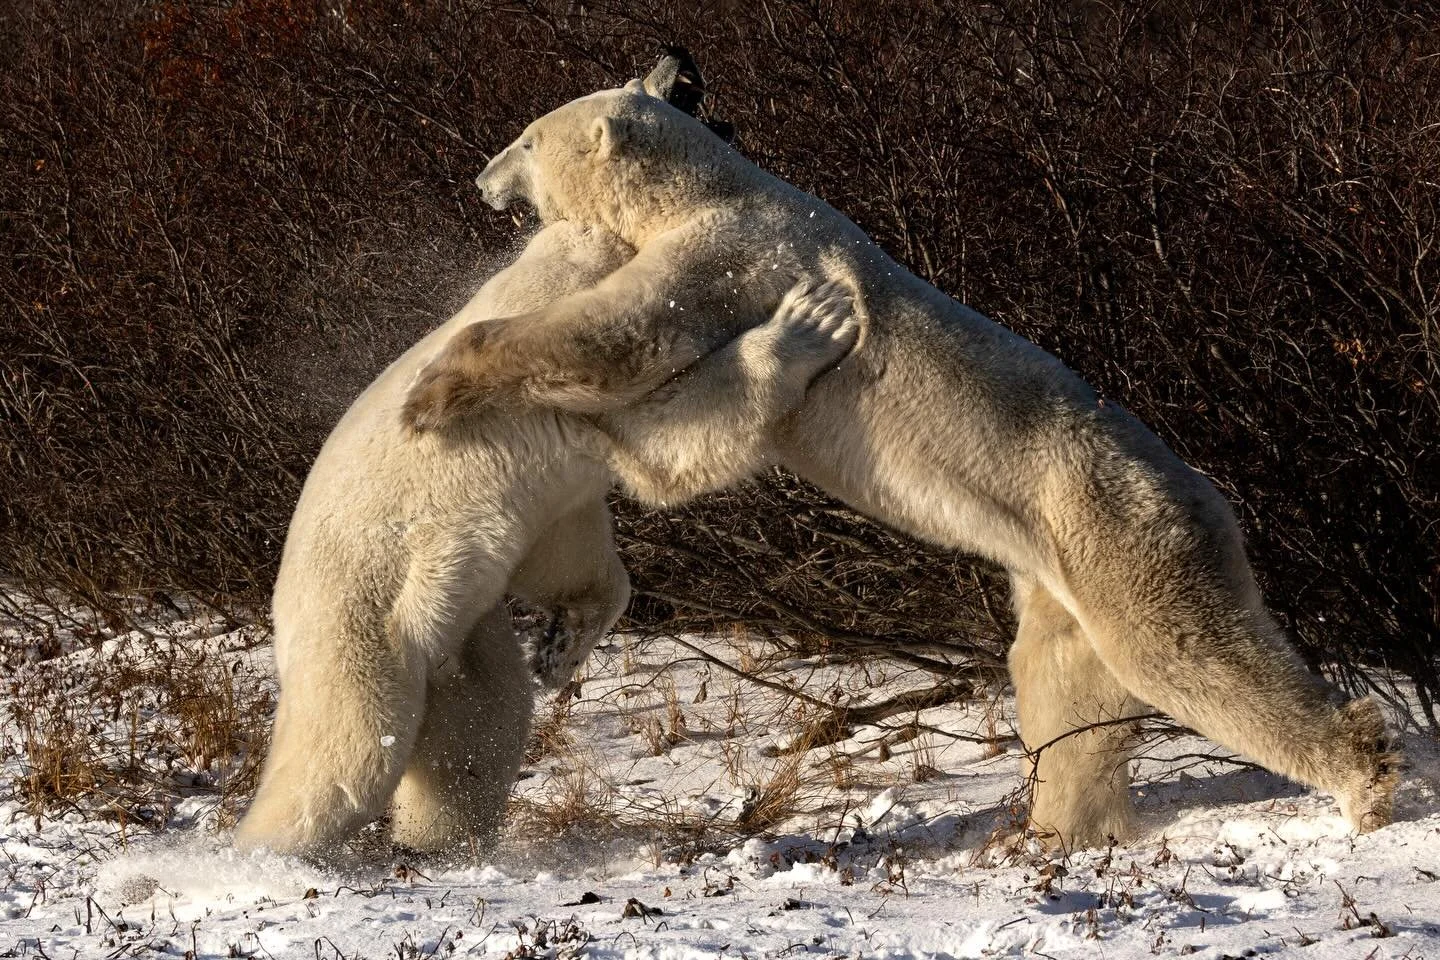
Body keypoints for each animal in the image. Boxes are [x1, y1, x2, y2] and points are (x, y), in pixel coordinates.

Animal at [232, 216, 859, 859]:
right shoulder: (546, 398)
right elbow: (668, 435)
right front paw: (813, 319)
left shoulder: (556, 485)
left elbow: (569, 556)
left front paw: (559, 649)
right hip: (360, 623)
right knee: (347, 754)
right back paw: (265, 851)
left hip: (457, 638)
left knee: (484, 721)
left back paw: (441, 840)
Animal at [402, 57, 1399, 849]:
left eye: (527, 138)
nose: (482, 177)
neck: (715, 185)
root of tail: (1206, 493)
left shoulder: (734, 254)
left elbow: (623, 335)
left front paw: (434, 387)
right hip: (1056, 577)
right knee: (1064, 686)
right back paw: (1056, 826)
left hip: (1122, 532)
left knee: (1188, 654)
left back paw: (1367, 781)